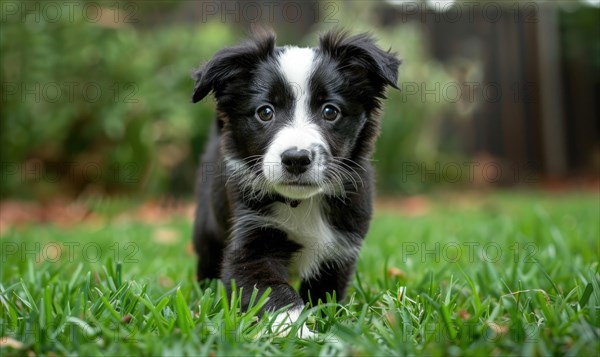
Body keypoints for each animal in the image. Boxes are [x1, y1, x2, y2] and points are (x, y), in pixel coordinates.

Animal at [191, 29, 398, 332]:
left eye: (330, 111)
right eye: (265, 111)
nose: (296, 159)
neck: (302, 203)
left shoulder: (340, 250)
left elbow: (324, 295)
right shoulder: (250, 245)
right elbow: (275, 292)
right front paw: (298, 332)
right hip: (208, 227)